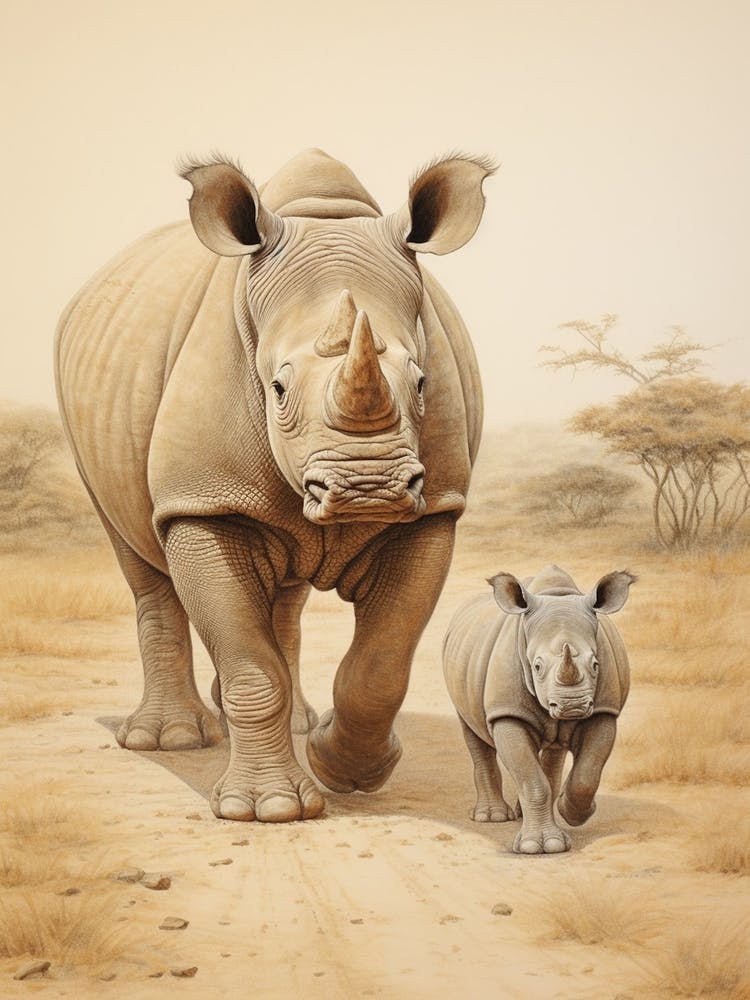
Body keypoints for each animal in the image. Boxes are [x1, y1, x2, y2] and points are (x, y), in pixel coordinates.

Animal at [55, 148, 493, 823]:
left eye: (422, 382)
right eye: (278, 388)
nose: (367, 488)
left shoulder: (433, 507)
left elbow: (382, 662)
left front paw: (347, 770)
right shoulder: (201, 502)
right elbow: (249, 663)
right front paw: (270, 809)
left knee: (285, 594)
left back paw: (298, 726)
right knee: (138, 555)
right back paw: (169, 740)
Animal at [443, 564, 634, 853]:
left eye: (596, 664)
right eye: (537, 666)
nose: (572, 706)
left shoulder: (603, 710)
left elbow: (588, 773)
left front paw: (572, 812)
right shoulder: (507, 712)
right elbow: (531, 779)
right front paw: (542, 846)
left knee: (555, 749)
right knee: (473, 731)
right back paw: (492, 817)